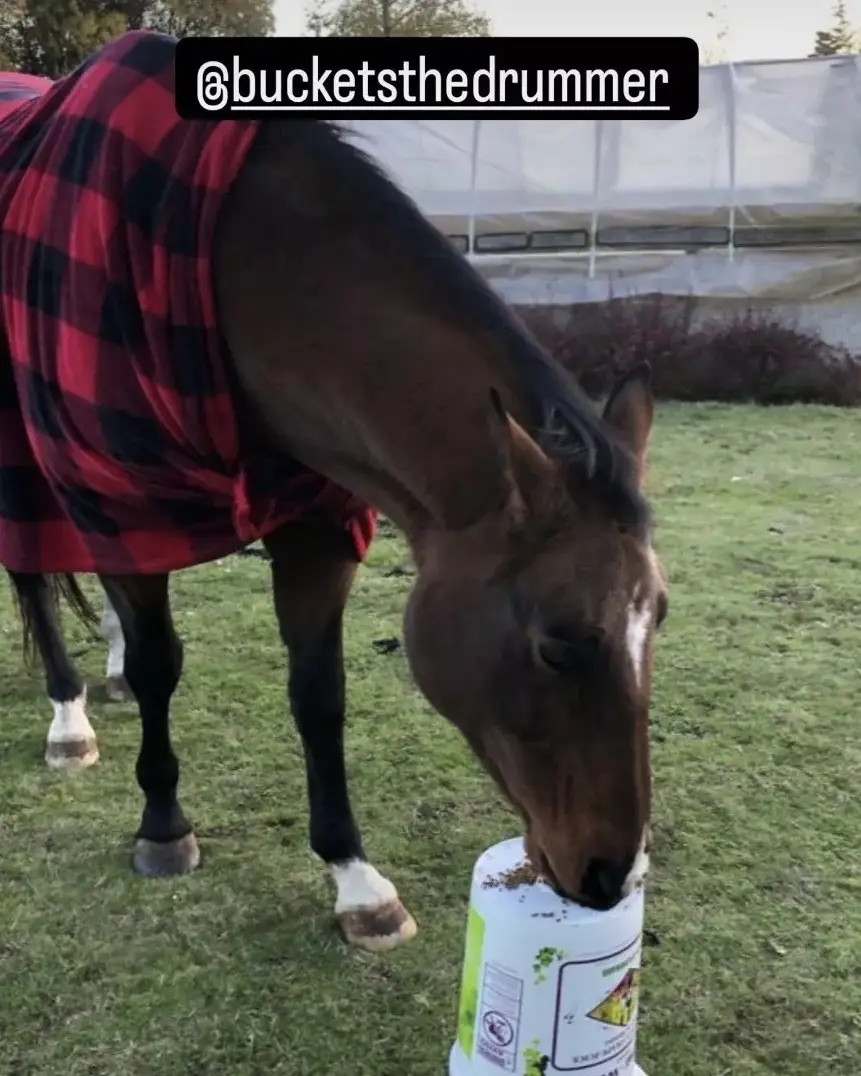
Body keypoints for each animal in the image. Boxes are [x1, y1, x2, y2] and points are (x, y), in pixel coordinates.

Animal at [0, 33, 667, 955]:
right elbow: (162, 663)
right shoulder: (124, 504)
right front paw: (163, 826)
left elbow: (319, 697)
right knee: (33, 573)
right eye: (556, 646)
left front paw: (355, 881)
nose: (610, 877)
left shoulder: (315, 523)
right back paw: (69, 715)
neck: (219, 269)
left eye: (657, 620)